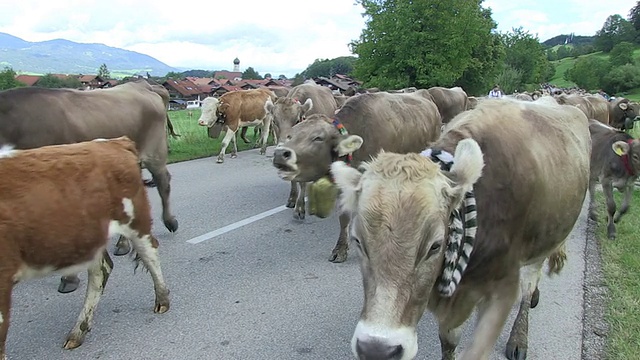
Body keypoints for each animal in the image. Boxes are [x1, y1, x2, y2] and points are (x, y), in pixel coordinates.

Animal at [0, 81, 180, 292]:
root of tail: (142, 84)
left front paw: (69, 277)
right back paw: (123, 243)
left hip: (155, 152)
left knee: (163, 182)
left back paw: (170, 221)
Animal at [0, 136, 170, 358]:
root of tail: (114, 141)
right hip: (91, 237)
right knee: (101, 271)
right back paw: (78, 331)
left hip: (135, 220)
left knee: (150, 252)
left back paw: (162, 300)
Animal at [330, 95, 592, 360]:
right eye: (358, 241)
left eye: (435, 246)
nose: (377, 349)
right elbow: (448, 339)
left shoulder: (502, 285)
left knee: (529, 284)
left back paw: (520, 335)